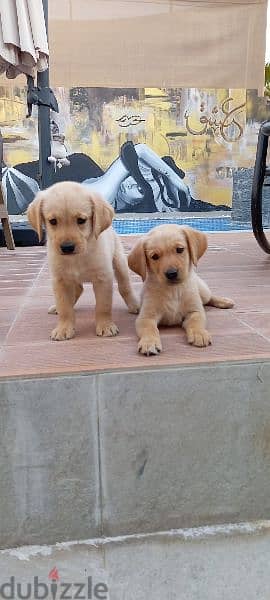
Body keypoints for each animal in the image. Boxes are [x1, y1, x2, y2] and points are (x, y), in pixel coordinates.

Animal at [26, 183, 139, 340]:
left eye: (81, 220)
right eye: (53, 221)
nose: (67, 247)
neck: (77, 257)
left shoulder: (103, 278)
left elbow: (103, 306)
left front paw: (105, 326)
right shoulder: (60, 280)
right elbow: (65, 308)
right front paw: (64, 328)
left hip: (119, 262)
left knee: (125, 287)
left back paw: (135, 305)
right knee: (78, 289)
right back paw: (57, 307)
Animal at [127, 225, 233, 356]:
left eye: (180, 249)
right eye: (154, 256)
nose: (171, 273)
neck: (174, 290)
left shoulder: (195, 311)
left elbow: (196, 321)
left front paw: (199, 334)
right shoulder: (146, 317)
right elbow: (149, 329)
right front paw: (149, 342)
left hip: (203, 291)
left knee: (210, 297)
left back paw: (224, 301)